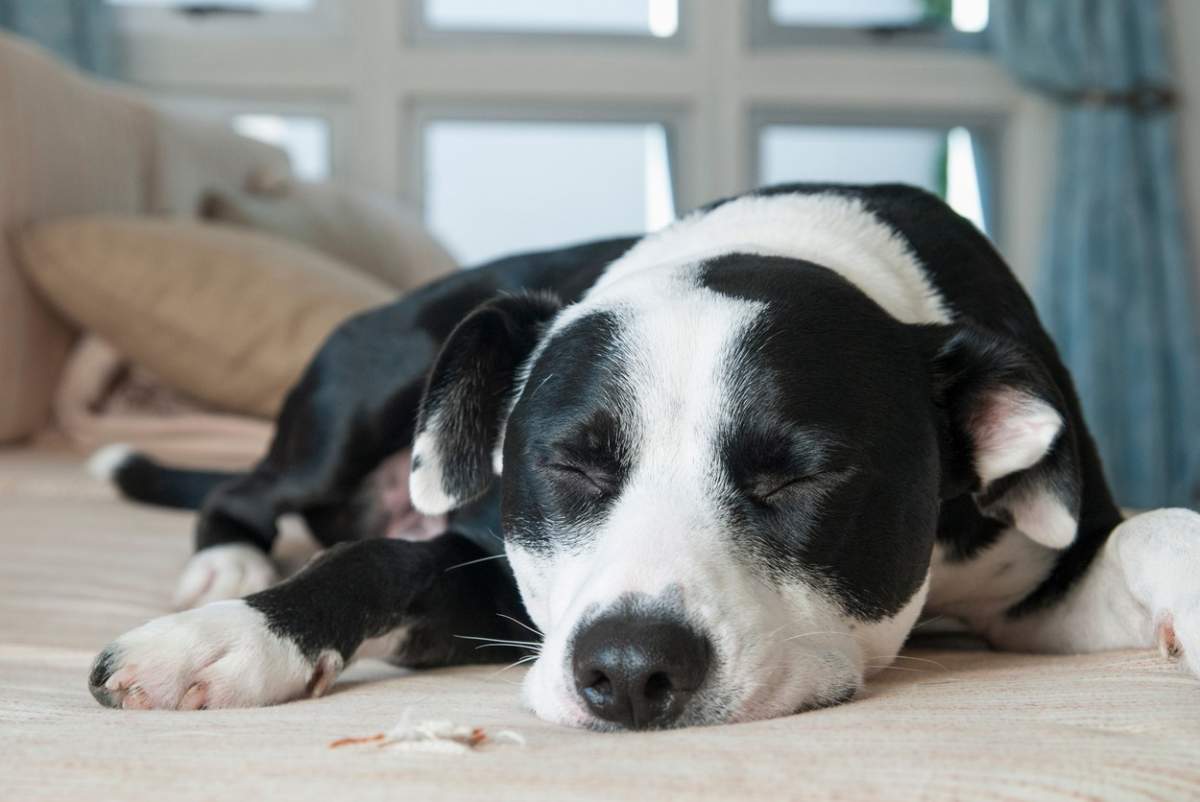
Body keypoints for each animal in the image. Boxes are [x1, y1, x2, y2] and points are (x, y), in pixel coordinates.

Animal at [88, 184, 1200, 729]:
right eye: (571, 464)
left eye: (803, 474)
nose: (628, 671)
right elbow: (371, 559)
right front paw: (225, 637)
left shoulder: (1039, 586)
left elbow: (1153, 528)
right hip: (368, 383)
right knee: (248, 488)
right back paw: (227, 564)